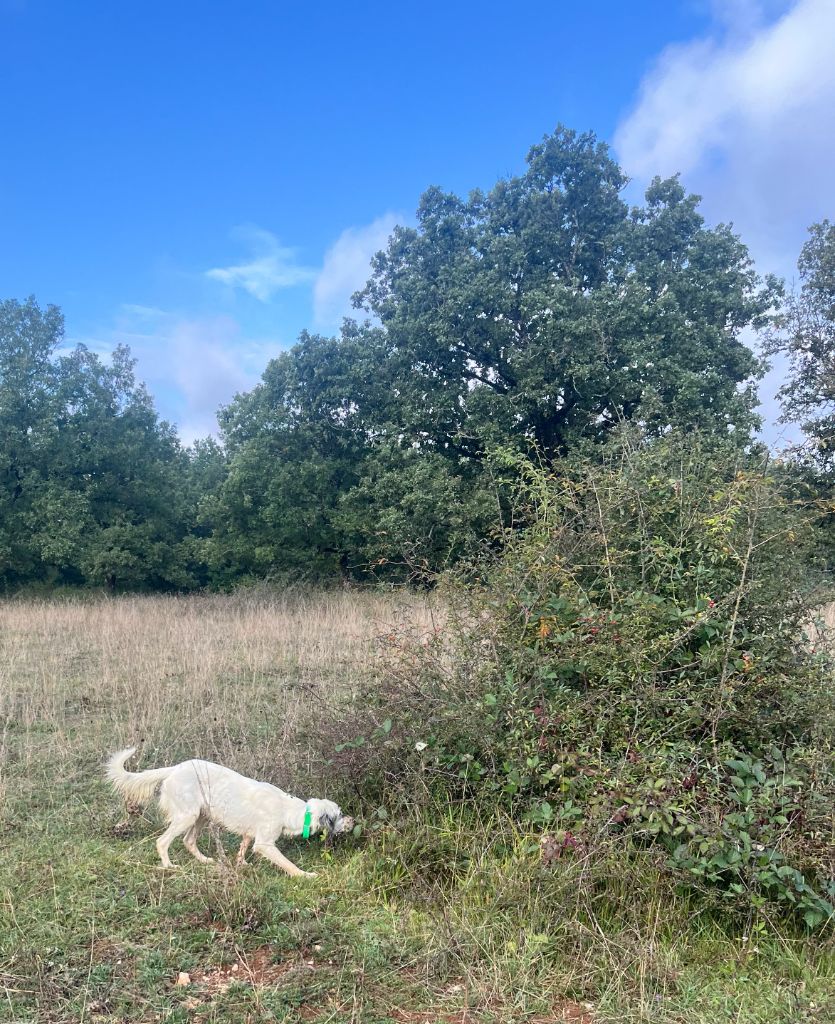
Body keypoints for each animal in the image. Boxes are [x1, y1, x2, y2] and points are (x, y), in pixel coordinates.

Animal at [104, 745, 352, 880]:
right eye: (339, 815)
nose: (353, 820)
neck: (290, 809)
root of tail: (174, 768)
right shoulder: (264, 843)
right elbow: (287, 864)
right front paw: (305, 875)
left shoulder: (249, 834)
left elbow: (242, 849)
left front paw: (241, 865)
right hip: (188, 816)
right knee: (162, 841)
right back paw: (169, 866)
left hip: (201, 816)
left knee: (188, 841)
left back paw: (205, 861)